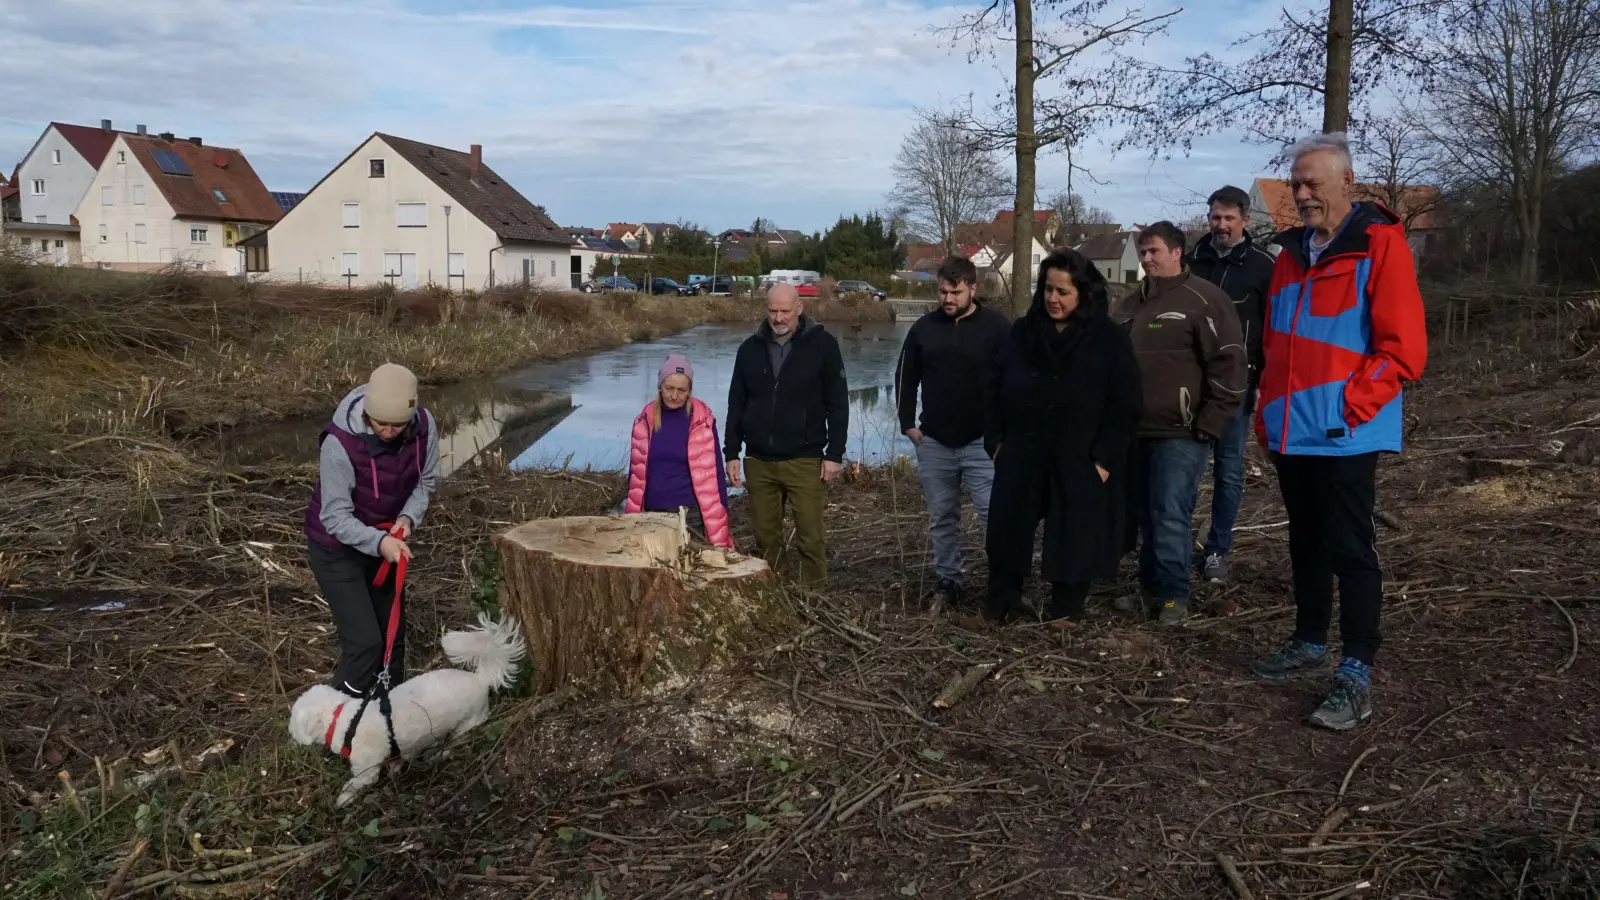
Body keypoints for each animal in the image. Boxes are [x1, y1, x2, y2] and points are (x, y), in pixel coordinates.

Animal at [288, 608, 524, 807]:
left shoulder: (366, 770)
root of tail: (481, 679)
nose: (289, 734)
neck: (346, 722)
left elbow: (355, 784)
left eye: (293, 722)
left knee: (453, 741)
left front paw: (343, 799)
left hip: (467, 724)